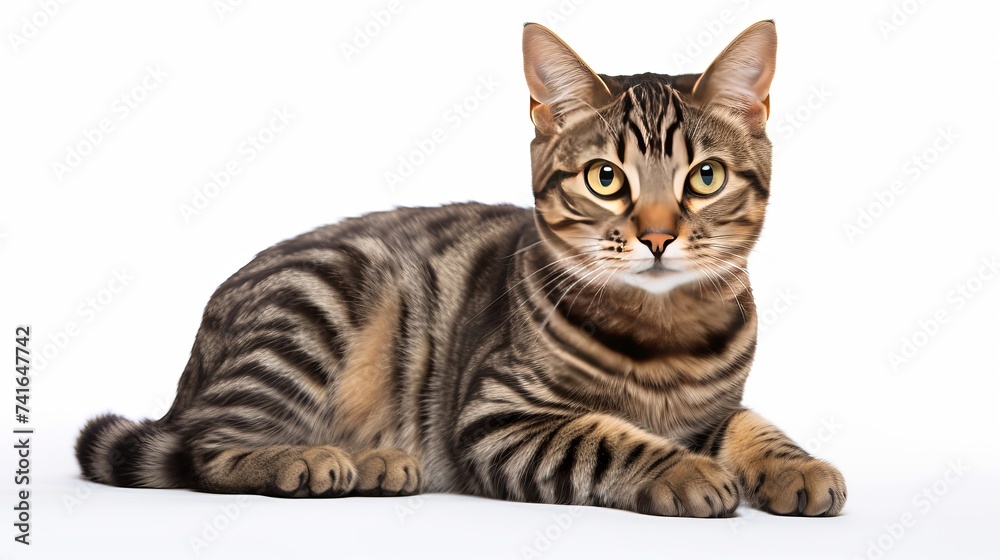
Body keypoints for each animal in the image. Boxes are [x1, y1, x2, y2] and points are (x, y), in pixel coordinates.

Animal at [78, 23, 844, 520]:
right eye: (605, 178)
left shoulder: (710, 409)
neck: (666, 333)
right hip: (314, 307)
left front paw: (797, 464)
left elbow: (751, 424)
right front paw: (682, 467)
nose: (658, 236)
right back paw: (306, 459)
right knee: (205, 446)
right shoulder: (497, 414)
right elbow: (605, 438)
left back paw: (372, 462)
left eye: (705, 177)